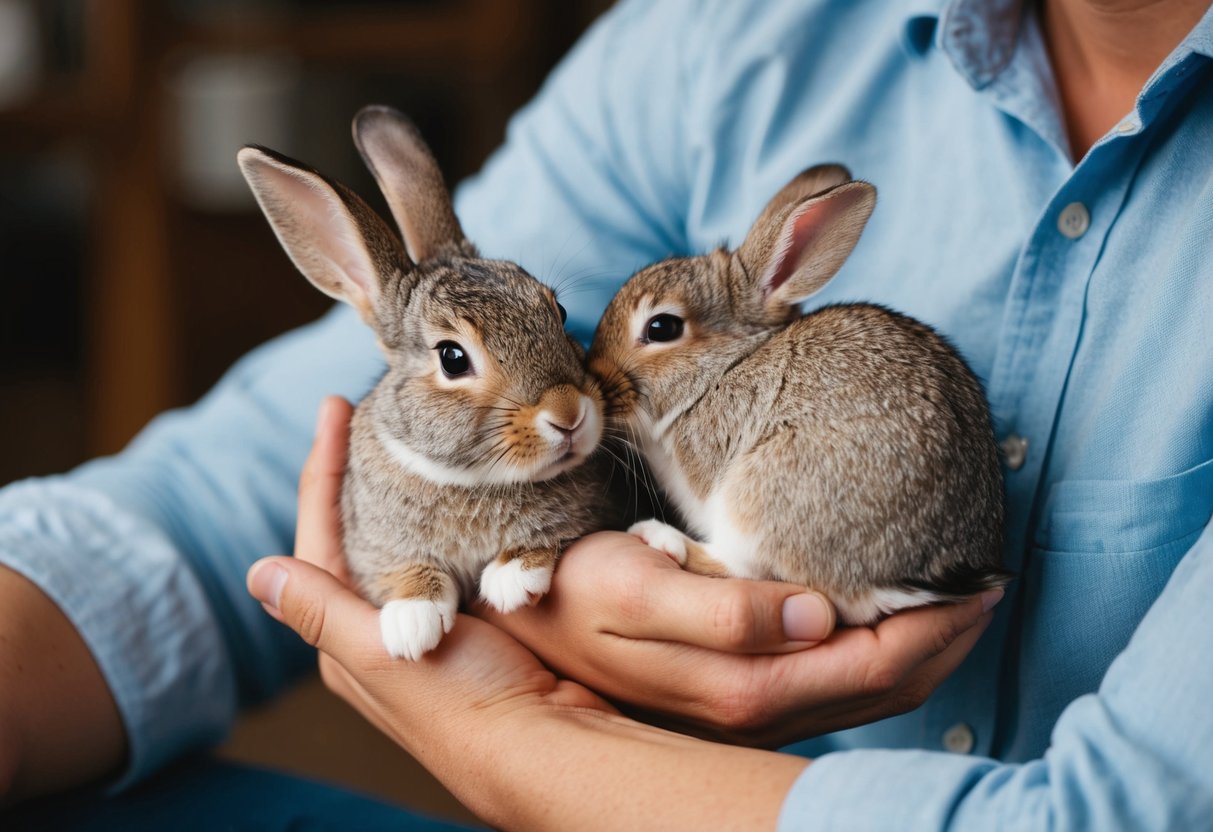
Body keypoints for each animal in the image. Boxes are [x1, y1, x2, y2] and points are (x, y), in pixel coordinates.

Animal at [238, 106, 615, 659]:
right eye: (453, 359)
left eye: (559, 312)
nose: (569, 414)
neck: (472, 480)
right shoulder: (374, 548)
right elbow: (402, 570)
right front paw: (412, 622)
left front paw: (513, 576)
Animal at [588, 165, 1009, 626]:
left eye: (662, 327)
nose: (594, 377)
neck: (726, 366)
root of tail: (894, 581)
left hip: (759, 498)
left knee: (742, 567)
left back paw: (659, 536)